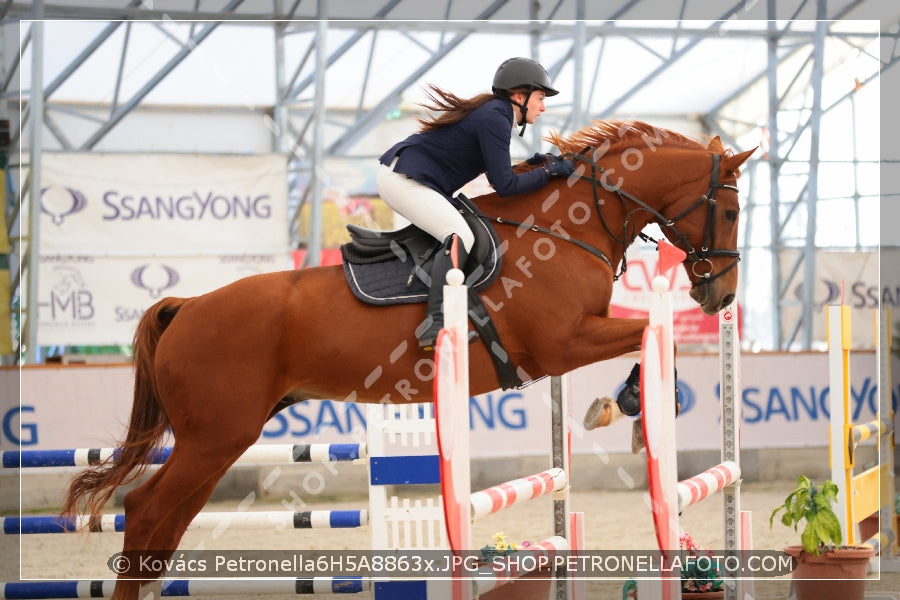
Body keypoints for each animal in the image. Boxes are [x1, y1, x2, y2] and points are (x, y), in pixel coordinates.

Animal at [61, 119, 752, 596]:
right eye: (731, 209)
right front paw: (627, 403)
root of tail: (188, 306)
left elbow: (649, 338)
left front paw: (625, 404)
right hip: (216, 436)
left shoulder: (567, 346)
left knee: (166, 524)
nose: (721, 295)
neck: (565, 228)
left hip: (218, 440)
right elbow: (649, 335)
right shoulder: (562, 343)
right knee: (147, 513)